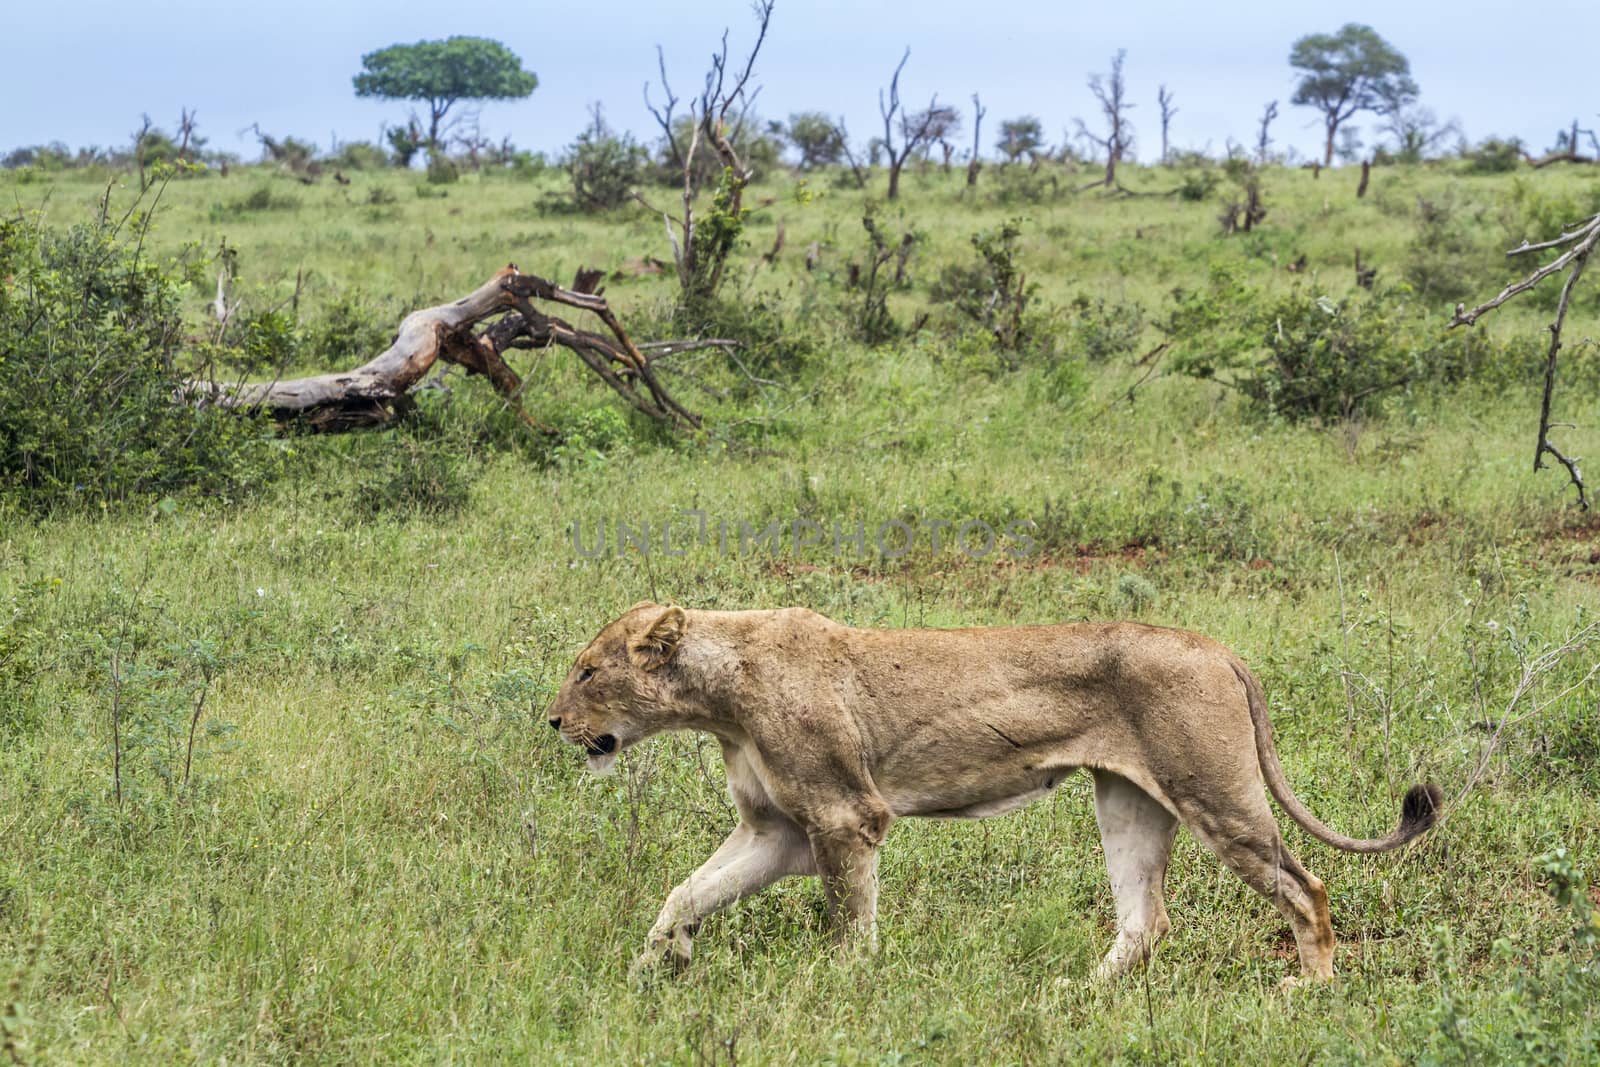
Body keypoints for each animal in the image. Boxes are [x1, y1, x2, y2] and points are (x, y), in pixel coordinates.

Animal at [544, 604, 1446, 979]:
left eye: (588, 670)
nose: (551, 719)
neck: (719, 697)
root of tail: (1215, 644)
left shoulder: (845, 817)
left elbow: (851, 927)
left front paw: (845, 988)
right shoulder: (779, 831)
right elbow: (684, 893)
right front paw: (651, 968)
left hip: (1216, 792)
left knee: (1305, 884)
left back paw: (1311, 988)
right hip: (1128, 801)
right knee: (1144, 918)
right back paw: (1076, 995)